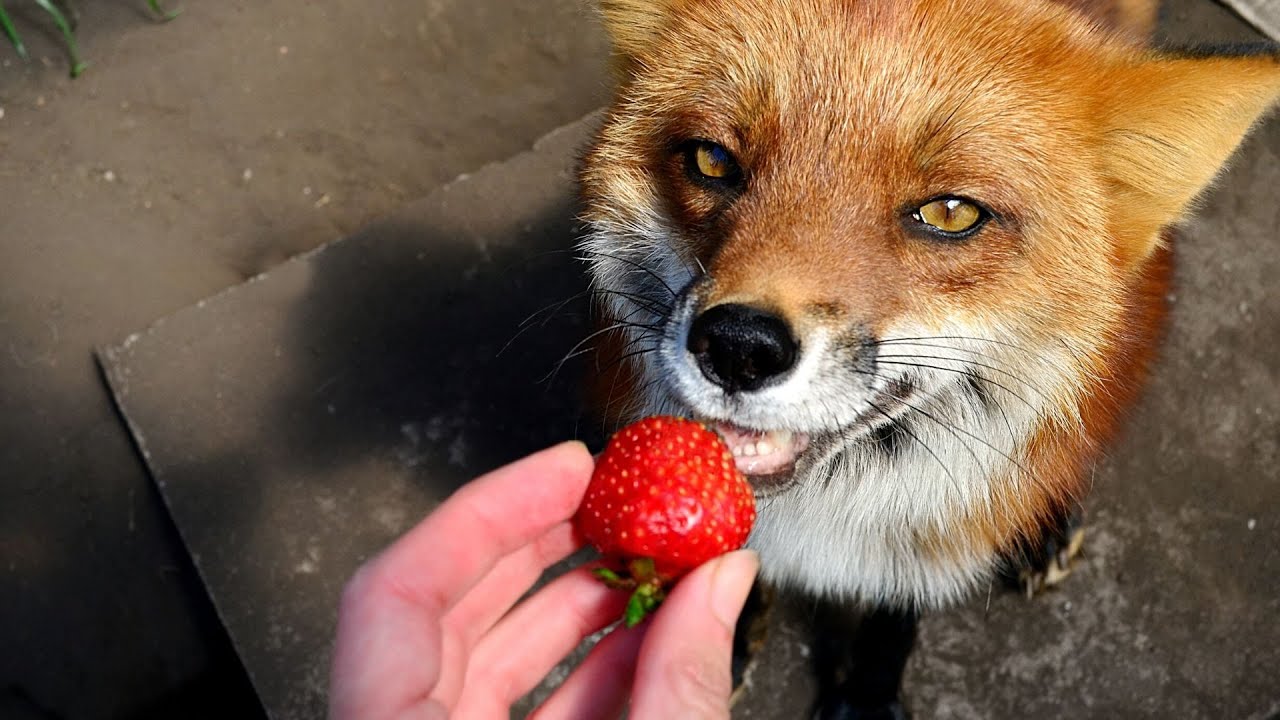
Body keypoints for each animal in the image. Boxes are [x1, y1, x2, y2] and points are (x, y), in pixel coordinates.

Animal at [576, 0, 1280, 712]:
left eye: (950, 213)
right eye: (713, 161)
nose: (738, 346)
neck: (831, 504)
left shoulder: (931, 537)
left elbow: (897, 613)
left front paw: (867, 697)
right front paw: (734, 636)